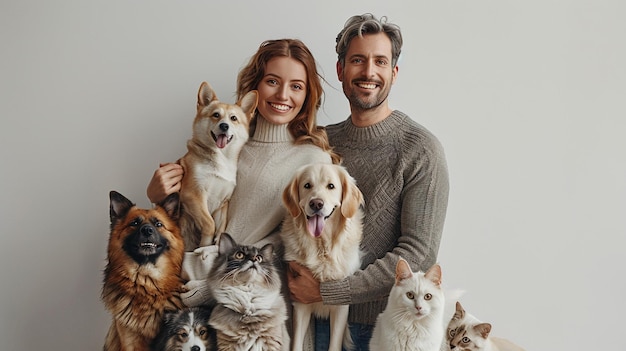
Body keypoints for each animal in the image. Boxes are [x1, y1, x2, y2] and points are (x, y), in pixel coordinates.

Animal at [177, 82, 255, 250]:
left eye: (233, 118)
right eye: (216, 115)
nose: (224, 126)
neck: (222, 158)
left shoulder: (222, 203)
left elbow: (220, 226)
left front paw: (219, 242)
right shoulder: (193, 194)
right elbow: (209, 224)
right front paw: (204, 245)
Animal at [280, 164, 364, 351]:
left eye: (331, 186)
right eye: (307, 185)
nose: (316, 203)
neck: (321, 247)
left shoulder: (340, 305)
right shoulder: (301, 306)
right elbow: (296, 343)